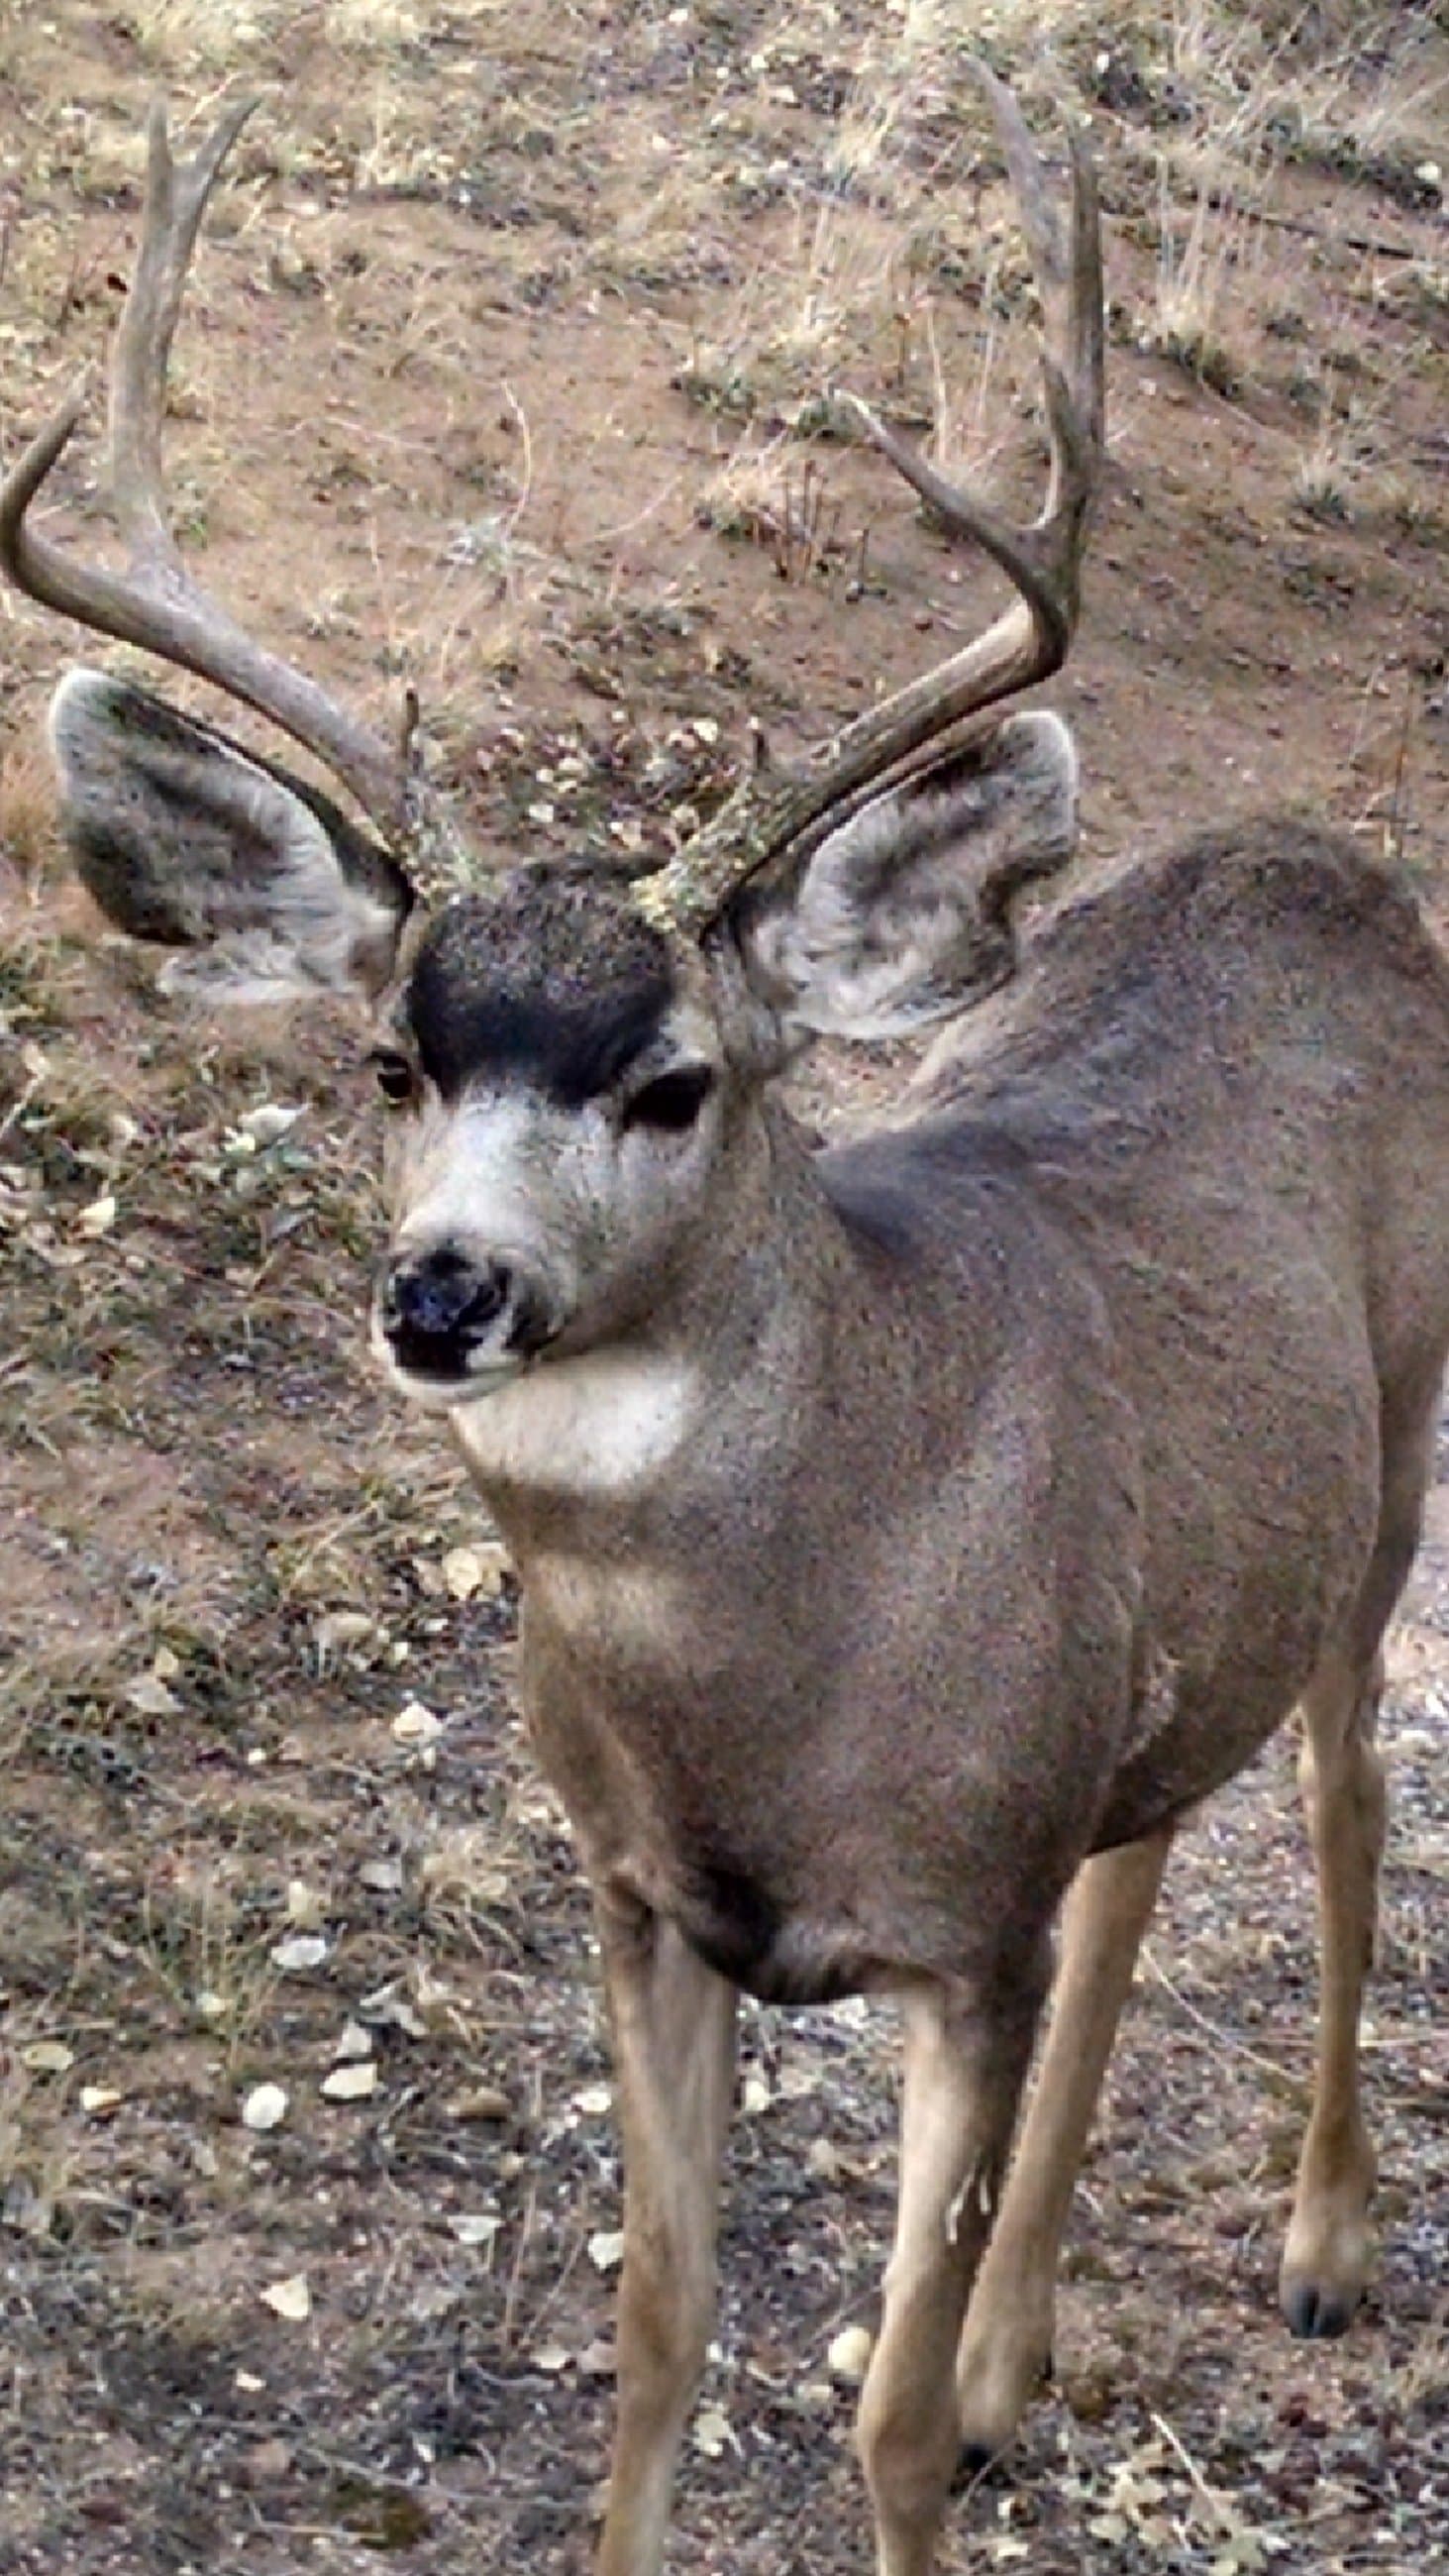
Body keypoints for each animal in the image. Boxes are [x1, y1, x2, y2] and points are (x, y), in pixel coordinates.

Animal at [4, 72, 1445, 2576]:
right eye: (387, 1060)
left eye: (674, 1080)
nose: (441, 1289)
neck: (784, 1675)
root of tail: (1330, 861)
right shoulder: (640, 1898)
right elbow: (656, 2346)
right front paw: (887, 2382)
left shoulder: (960, 1925)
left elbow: (866, 2421)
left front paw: (935, 2406)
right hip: (1186, 1608)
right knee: (1158, 1835)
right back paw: (1027, 2345)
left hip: (1402, 1450)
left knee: (1348, 1794)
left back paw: (1324, 2243)